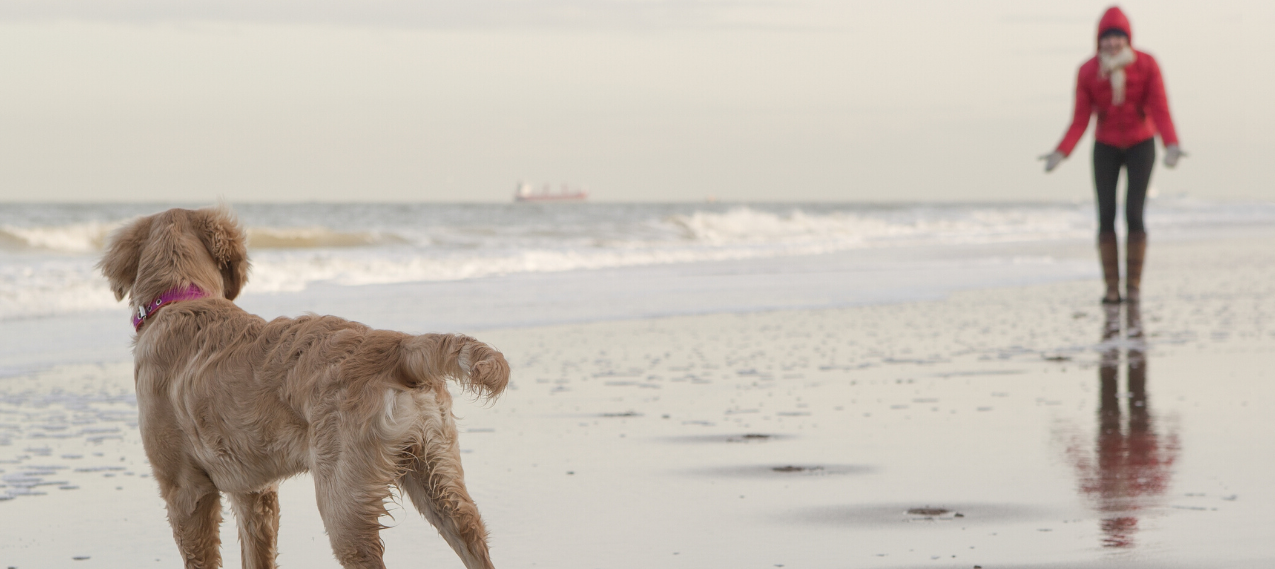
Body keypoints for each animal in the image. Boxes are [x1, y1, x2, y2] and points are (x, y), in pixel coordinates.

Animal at [99, 206, 507, 566]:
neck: (180, 297)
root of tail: (400, 346)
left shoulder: (185, 491)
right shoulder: (253, 491)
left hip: (344, 499)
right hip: (438, 478)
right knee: (472, 536)